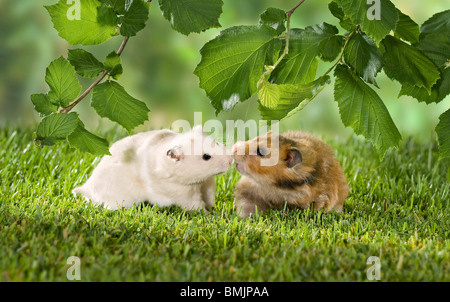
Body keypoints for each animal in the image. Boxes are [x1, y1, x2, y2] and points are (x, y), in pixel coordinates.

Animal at [73, 125, 232, 210]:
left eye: (217, 143)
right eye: (206, 157)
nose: (230, 160)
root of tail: (87, 187)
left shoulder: (206, 184)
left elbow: (209, 197)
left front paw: (212, 208)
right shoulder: (182, 193)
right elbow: (195, 204)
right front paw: (207, 214)